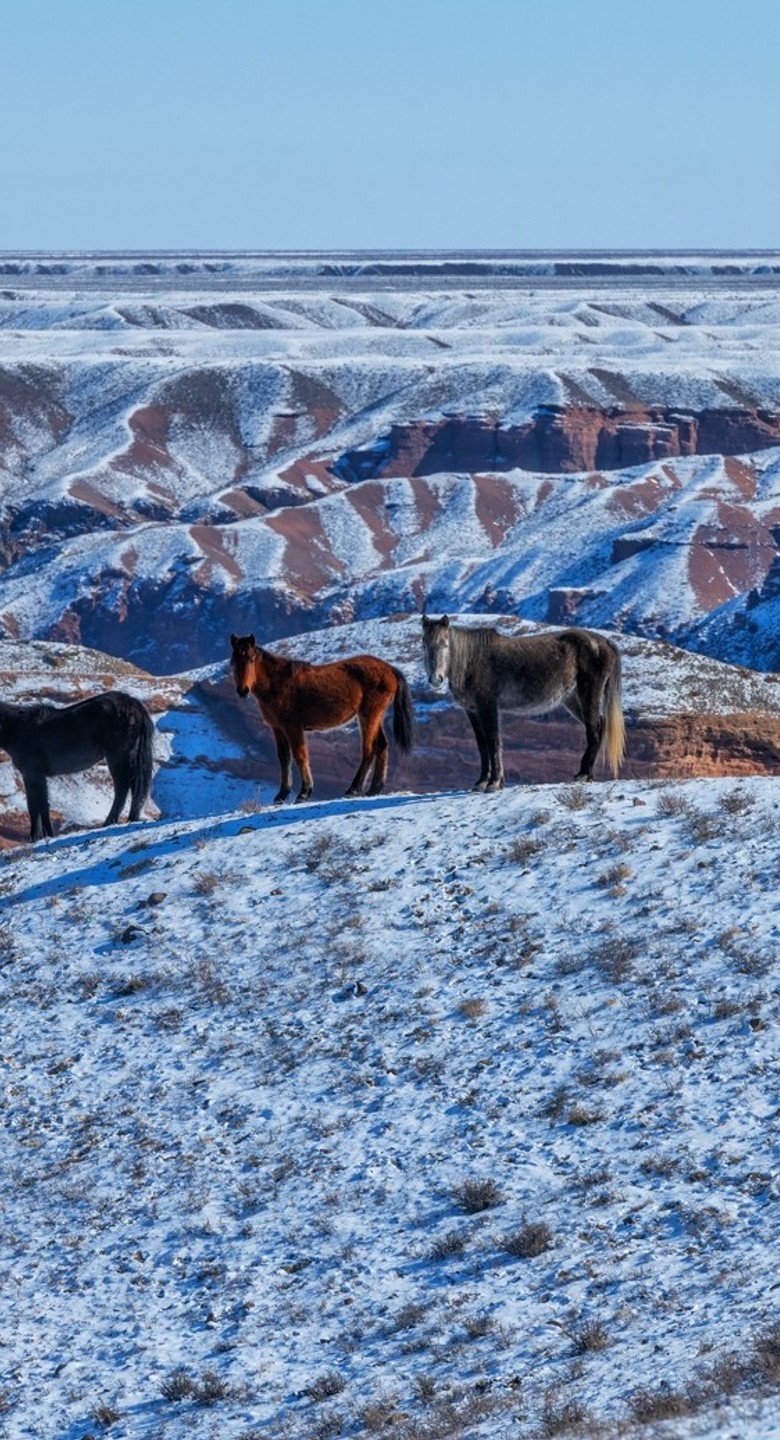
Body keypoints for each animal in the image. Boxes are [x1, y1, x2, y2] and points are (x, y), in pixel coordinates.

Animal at [0, 688, 156, 840]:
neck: (16, 728)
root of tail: (132, 703)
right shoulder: (36, 776)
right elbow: (41, 804)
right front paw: (44, 835)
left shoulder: (32, 774)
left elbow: (35, 805)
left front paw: (36, 837)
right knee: (134, 786)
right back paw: (131, 818)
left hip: (118, 757)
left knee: (123, 788)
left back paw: (110, 822)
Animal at [228, 636, 414, 806]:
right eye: (233, 662)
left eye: (251, 659)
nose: (242, 690)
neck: (277, 683)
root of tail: (389, 669)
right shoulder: (277, 728)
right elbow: (284, 758)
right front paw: (281, 795)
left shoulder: (293, 727)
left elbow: (300, 755)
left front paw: (304, 793)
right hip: (374, 716)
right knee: (382, 746)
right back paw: (375, 788)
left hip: (369, 715)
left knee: (369, 749)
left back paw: (353, 789)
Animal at [423, 610, 630, 789]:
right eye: (425, 645)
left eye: (445, 644)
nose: (435, 679)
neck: (471, 662)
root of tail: (604, 642)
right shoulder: (472, 711)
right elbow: (482, 745)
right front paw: (481, 782)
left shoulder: (488, 707)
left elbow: (493, 741)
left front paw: (494, 783)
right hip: (572, 700)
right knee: (599, 725)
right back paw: (586, 773)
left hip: (589, 695)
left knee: (594, 729)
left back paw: (583, 774)